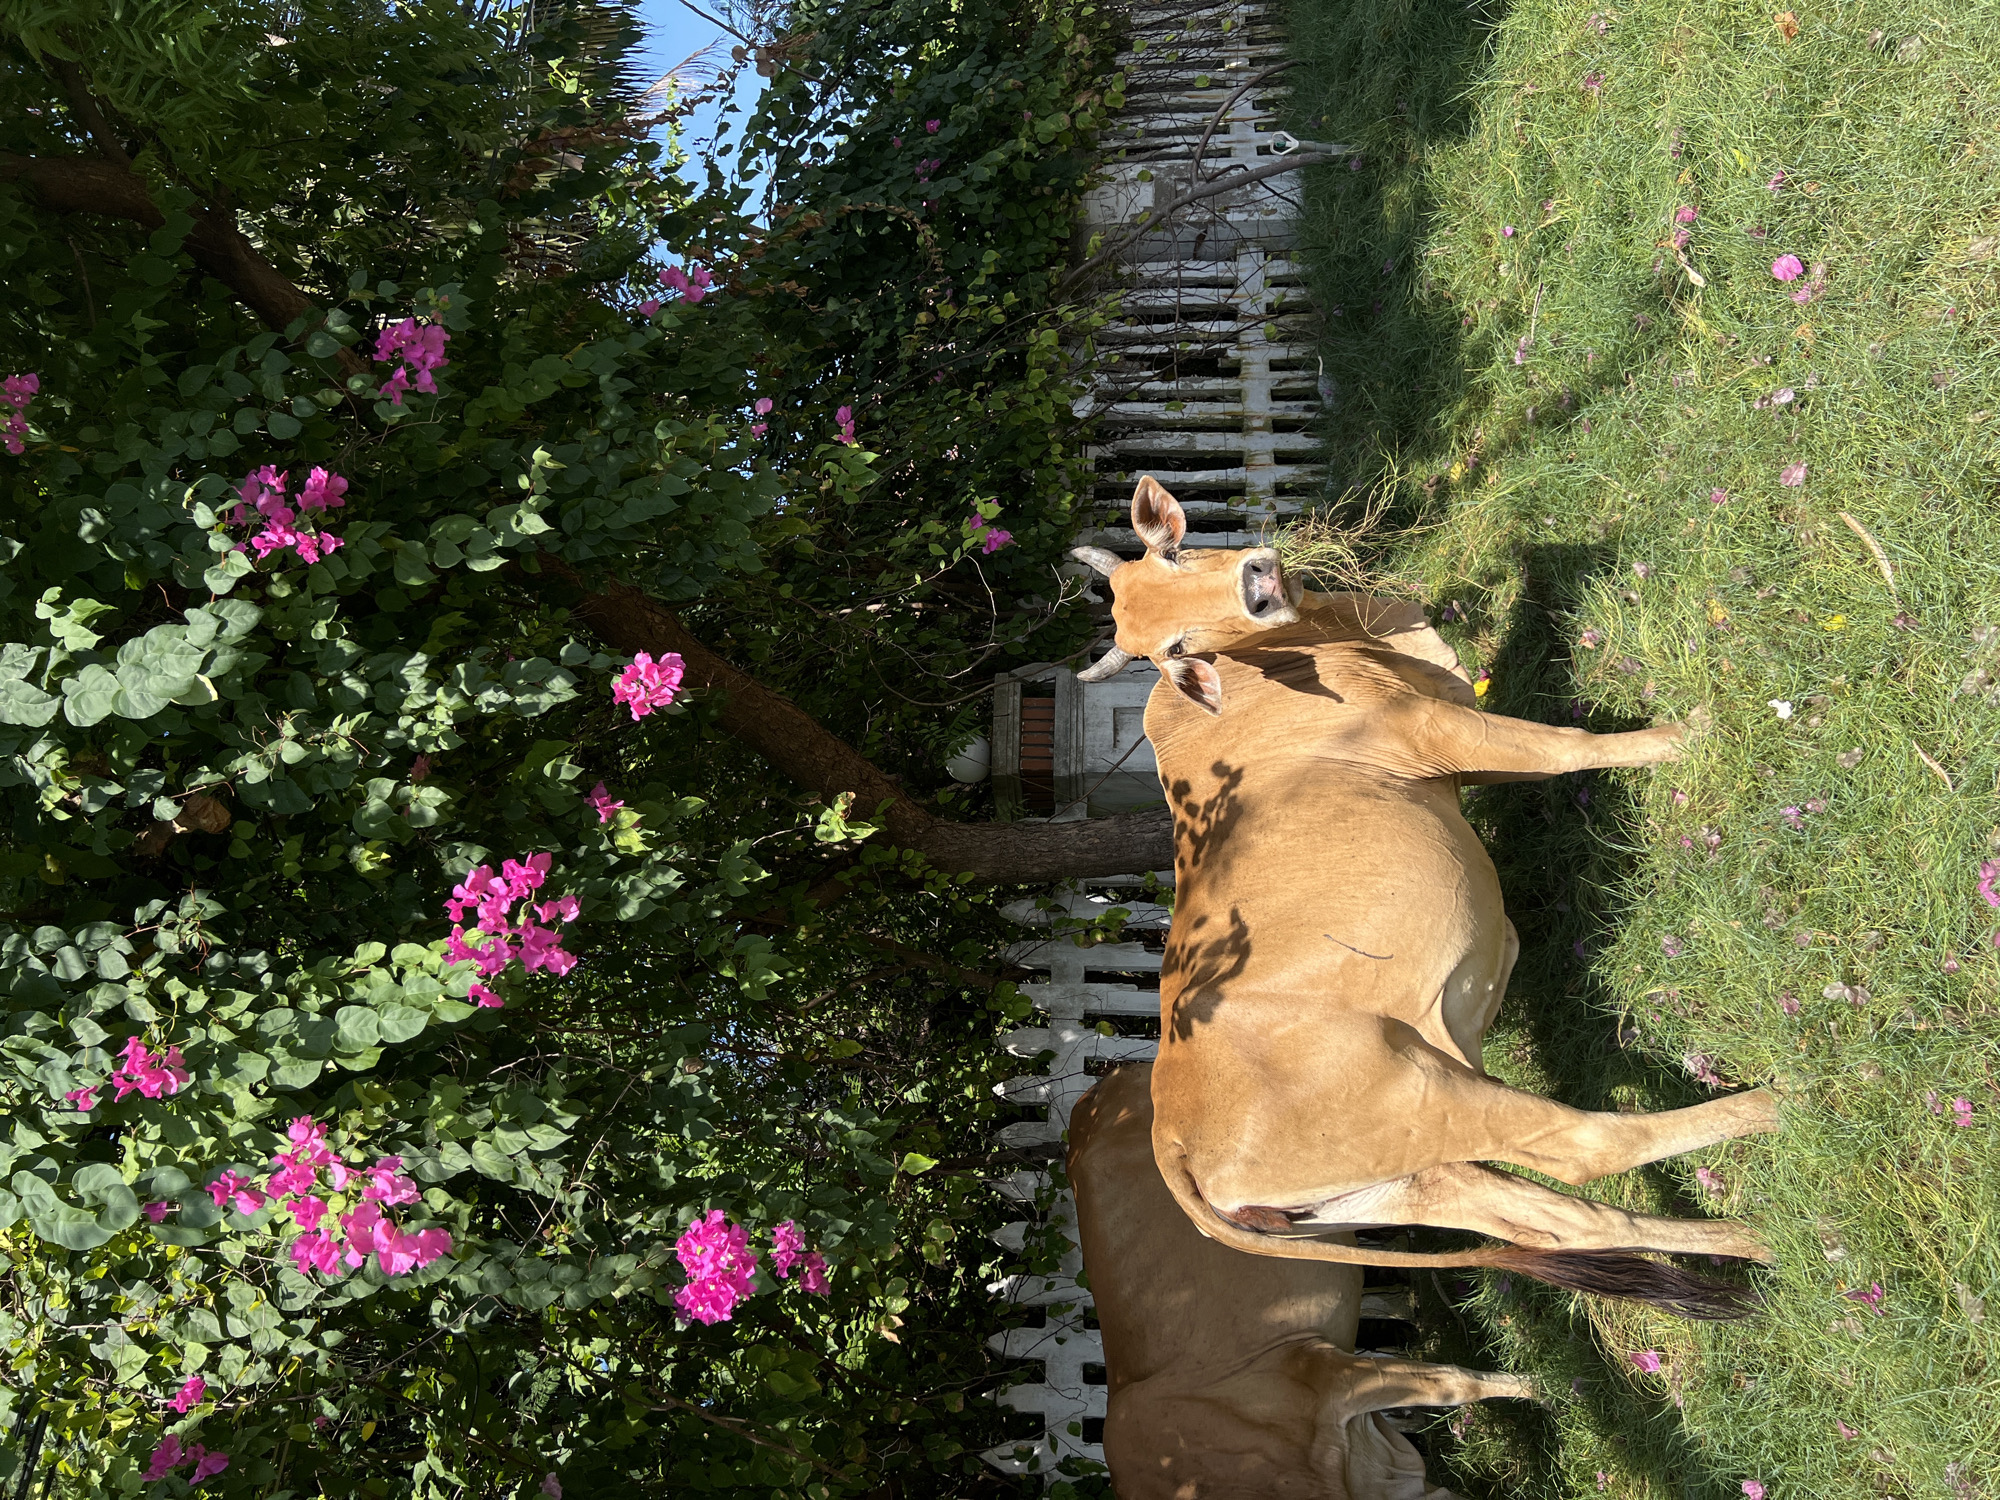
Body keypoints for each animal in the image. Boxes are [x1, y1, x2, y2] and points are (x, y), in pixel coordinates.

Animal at [1067, 477, 1780, 1317]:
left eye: (1172, 554)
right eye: (1176, 650)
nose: (1257, 584)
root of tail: (1172, 1144)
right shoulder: (1443, 731)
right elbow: (1573, 748)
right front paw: (1695, 730)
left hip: (1406, 1177)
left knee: (1559, 1220)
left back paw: (1755, 1242)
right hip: (1428, 1095)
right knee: (1583, 1149)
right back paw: (1786, 1103)